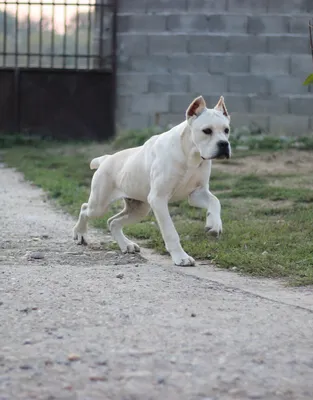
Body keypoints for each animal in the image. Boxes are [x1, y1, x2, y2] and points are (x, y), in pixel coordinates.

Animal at [72, 94, 229, 266]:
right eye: (207, 131)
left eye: (226, 130)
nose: (224, 144)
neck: (190, 154)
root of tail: (106, 159)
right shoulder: (159, 199)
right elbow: (170, 231)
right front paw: (180, 257)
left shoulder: (197, 193)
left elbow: (215, 201)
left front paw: (214, 224)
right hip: (100, 205)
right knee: (85, 209)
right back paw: (80, 234)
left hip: (139, 209)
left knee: (112, 222)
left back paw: (126, 245)